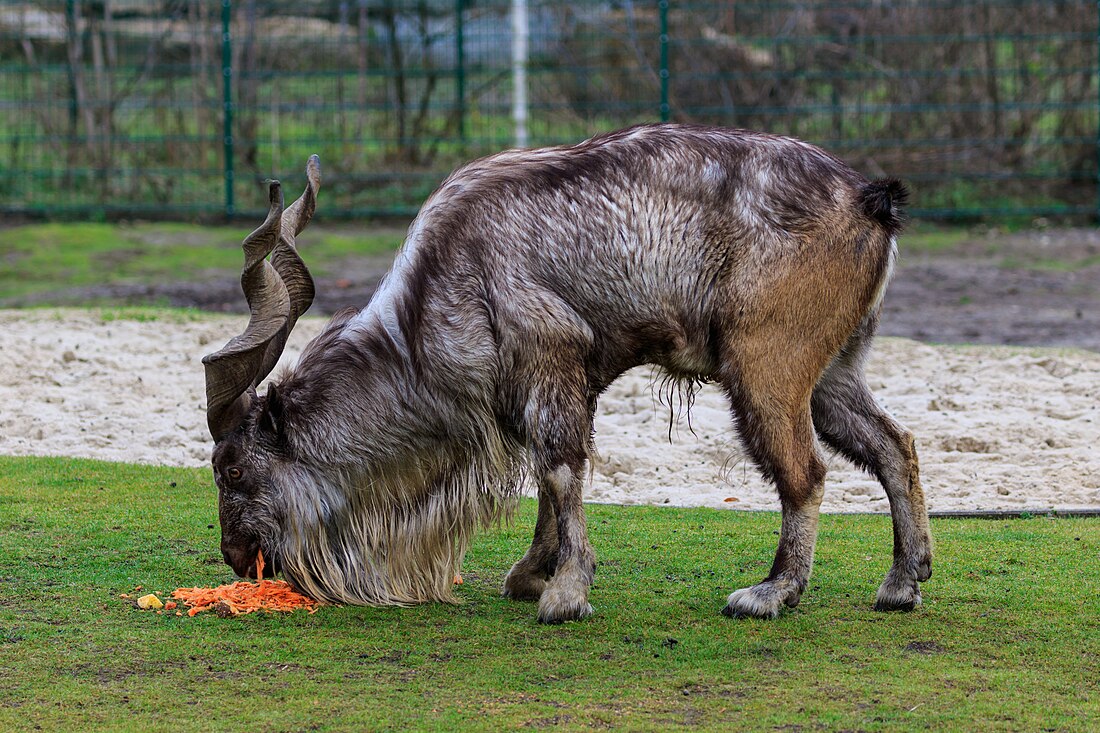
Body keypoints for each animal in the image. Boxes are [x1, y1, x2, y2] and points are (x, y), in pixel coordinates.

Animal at [204, 122, 928, 620]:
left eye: (232, 469)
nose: (237, 558)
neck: (443, 282)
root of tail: (868, 200)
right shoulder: (566, 381)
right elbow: (553, 474)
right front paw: (534, 573)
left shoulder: (551, 358)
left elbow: (557, 467)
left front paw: (566, 591)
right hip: (832, 372)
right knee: (894, 444)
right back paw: (902, 580)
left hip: (764, 365)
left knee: (804, 472)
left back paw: (773, 591)